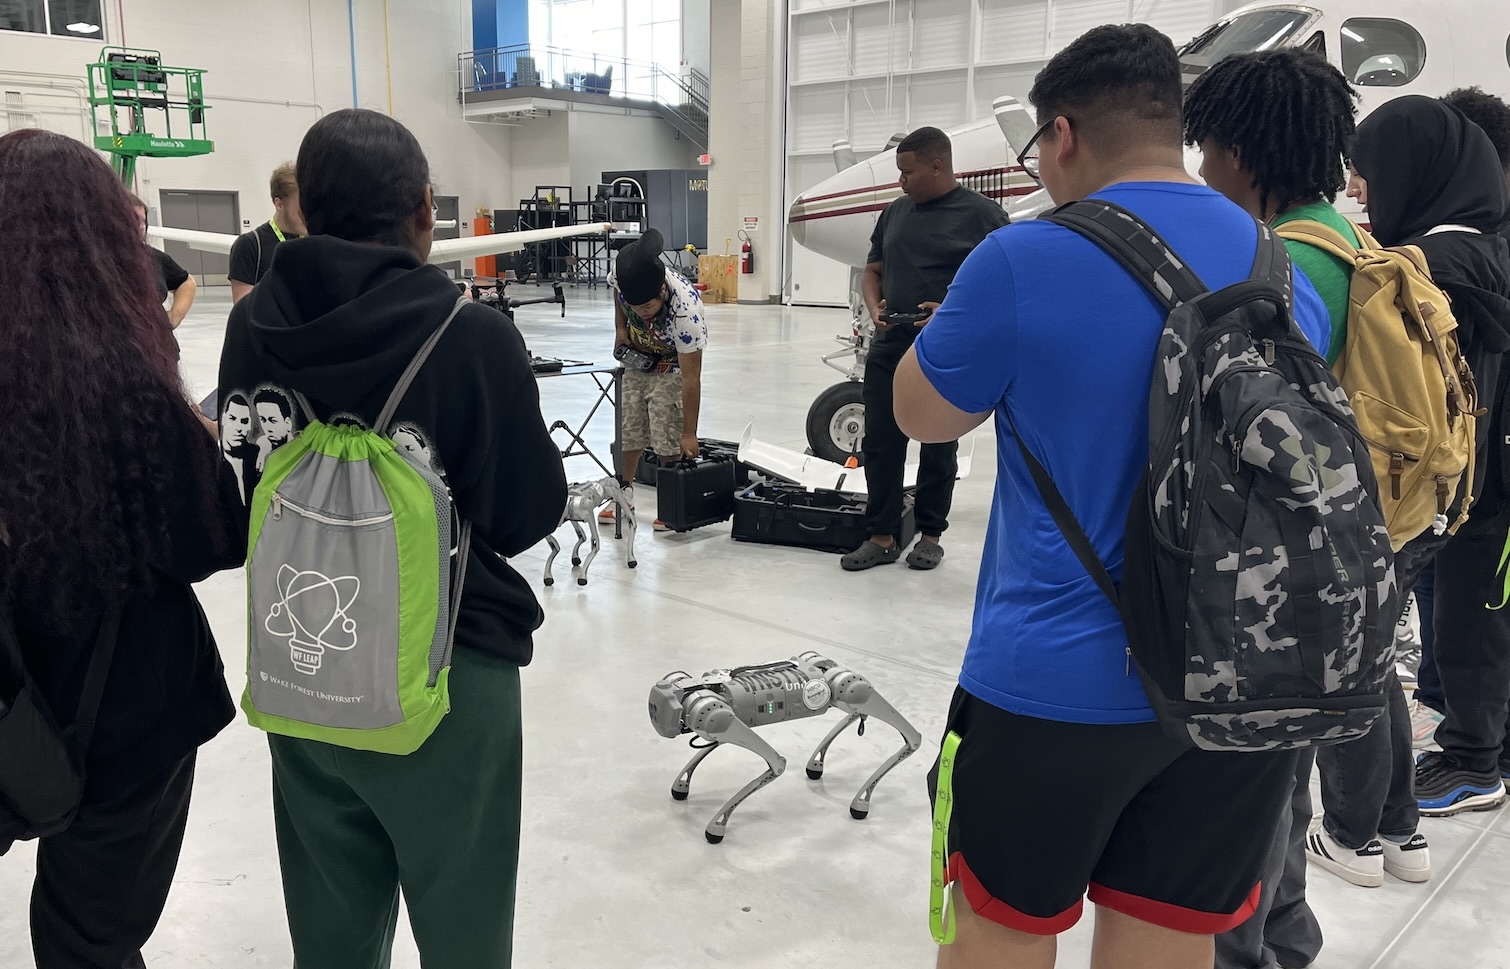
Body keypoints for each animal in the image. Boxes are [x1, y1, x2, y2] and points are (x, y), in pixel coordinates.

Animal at [649, 649, 918, 845]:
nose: (657, 706)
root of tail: (829, 667)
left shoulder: (724, 721)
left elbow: (777, 763)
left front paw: (716, 827)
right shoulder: (724, 726)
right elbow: (774, 763)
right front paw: (682, 787)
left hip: (852, 692)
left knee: (913, 737)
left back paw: (859, 799)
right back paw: (817, 766)